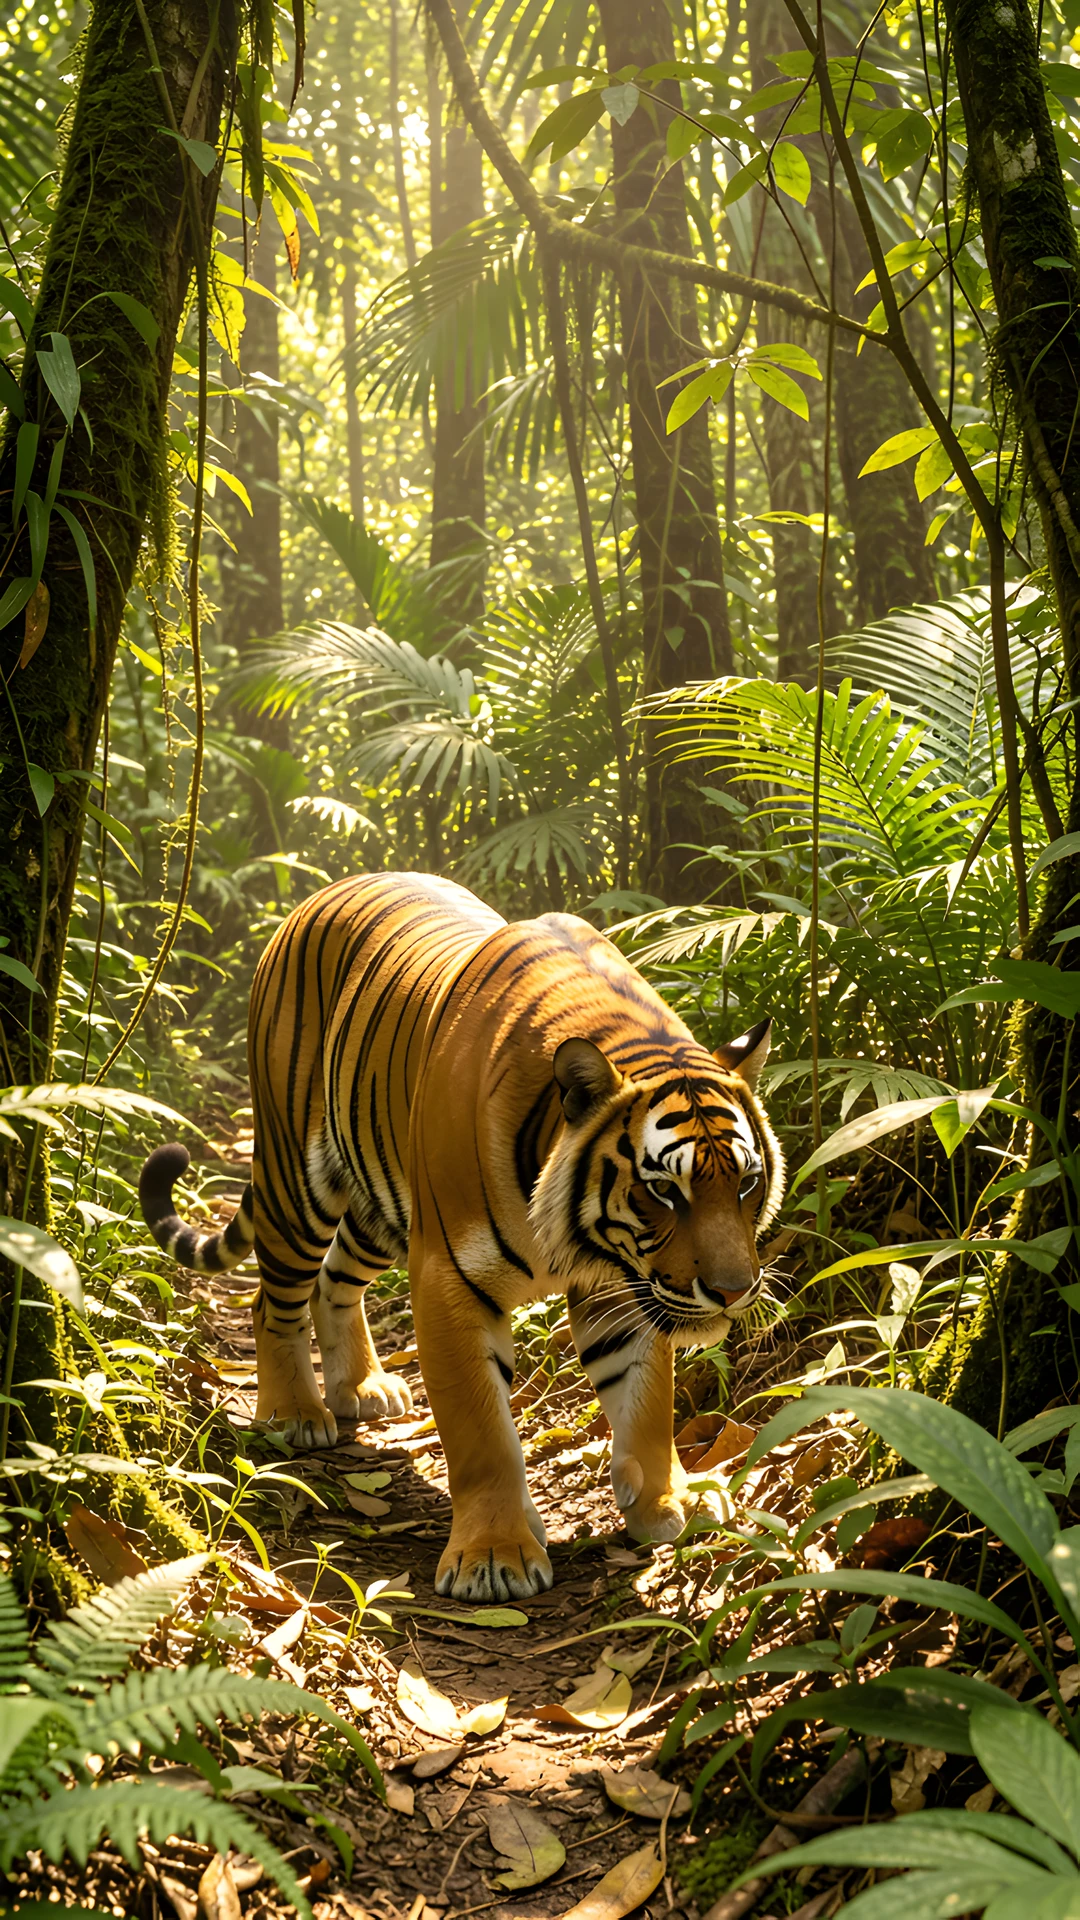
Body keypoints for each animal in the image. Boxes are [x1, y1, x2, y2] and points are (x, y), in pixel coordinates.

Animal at [140, 871, 784, 1601]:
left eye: (745, 1183)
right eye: (664, 1191)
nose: (733, 1292)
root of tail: (317, 895)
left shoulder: (623, 1284)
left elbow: (646, 1400)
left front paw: (669, 1502)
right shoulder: (450, 1278)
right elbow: (481, 1431)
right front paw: (494, 1557)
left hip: (378, 1204)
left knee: (334, 1280)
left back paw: (365, 1388)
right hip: (294, 1180)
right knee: (270, 1300)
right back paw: (294, 1414)